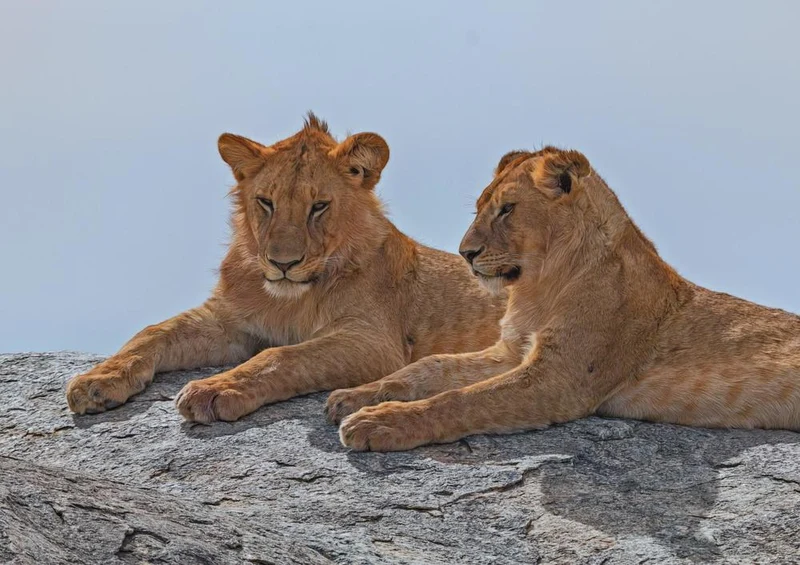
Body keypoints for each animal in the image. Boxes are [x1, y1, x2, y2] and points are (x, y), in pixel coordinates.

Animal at [66, 114, 506, 422]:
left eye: (319, 206)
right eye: (266, 202)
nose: (283, 263)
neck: (288, 299)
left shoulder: (375, 341)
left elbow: (282, 356)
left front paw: (214, 389)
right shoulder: (229, 322)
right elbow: (153, 332)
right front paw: (97, 380)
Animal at [329, 146, 800, 451]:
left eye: (507, 209)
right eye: (479, 207)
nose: (466, 253)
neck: (539, 286)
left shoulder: (562, 378)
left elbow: (462, 398)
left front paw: (380, 421)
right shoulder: (510, 352)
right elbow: (429, 367)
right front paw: (356, 395)